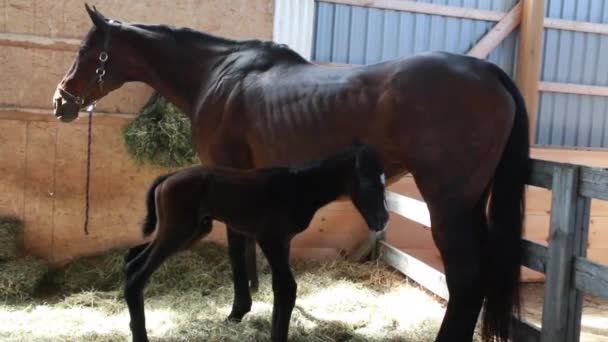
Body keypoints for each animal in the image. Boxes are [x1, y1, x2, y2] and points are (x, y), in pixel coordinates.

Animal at [123, 143, 390, 340]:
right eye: (368, 181)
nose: (383, 220)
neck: (297, 187)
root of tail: (168, 176)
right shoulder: (269, 239)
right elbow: (287, 287)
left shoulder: (283, 242)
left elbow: (280, 287)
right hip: (178, 232)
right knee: (137, 275)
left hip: (189, 232)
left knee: (132, 261)